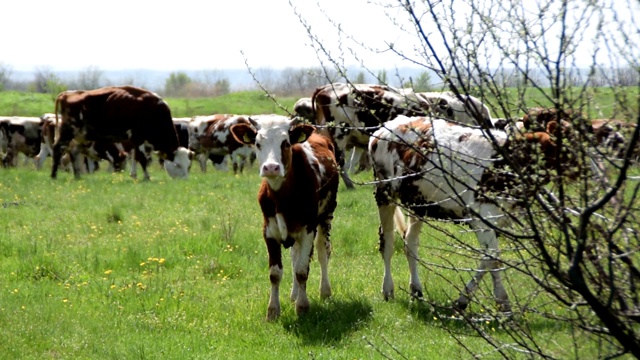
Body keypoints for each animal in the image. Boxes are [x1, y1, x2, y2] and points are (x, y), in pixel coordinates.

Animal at [51, 86, 191, 181]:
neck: (154, 110)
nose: (184, 180)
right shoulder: (138, 137)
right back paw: (53, 176)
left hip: (80, 137)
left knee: (73, 153)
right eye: (177, 164)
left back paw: (77, 176)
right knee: (57, 149)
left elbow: (136, 157)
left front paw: (134, 175)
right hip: (67, 132)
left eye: (189, 166)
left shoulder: (137, 141)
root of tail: (67, 93)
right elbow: (142, 158)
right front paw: (146, 177)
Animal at [229, 114, 340, 320]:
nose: (271, 167)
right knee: (294, 255)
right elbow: (275, 273)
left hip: (326, 216)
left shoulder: (308, 229)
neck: (282, 197)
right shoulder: (269, 231)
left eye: (286, 143)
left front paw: (302, 307)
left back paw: (325, 290)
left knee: (323, 251)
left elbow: (302, 270)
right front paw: (273, 310)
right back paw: (294, 294)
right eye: (257, 143)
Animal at [368, 114, 576, 312]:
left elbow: (490, 259)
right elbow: (492, 258)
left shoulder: (497, 221)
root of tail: (388, 125)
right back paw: (388, 289)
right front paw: (496, 303)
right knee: (387, 242)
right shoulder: (481, 218)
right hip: (384, 192)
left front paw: (485, 302)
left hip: (419, 202)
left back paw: (416, 290)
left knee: (410, 242)